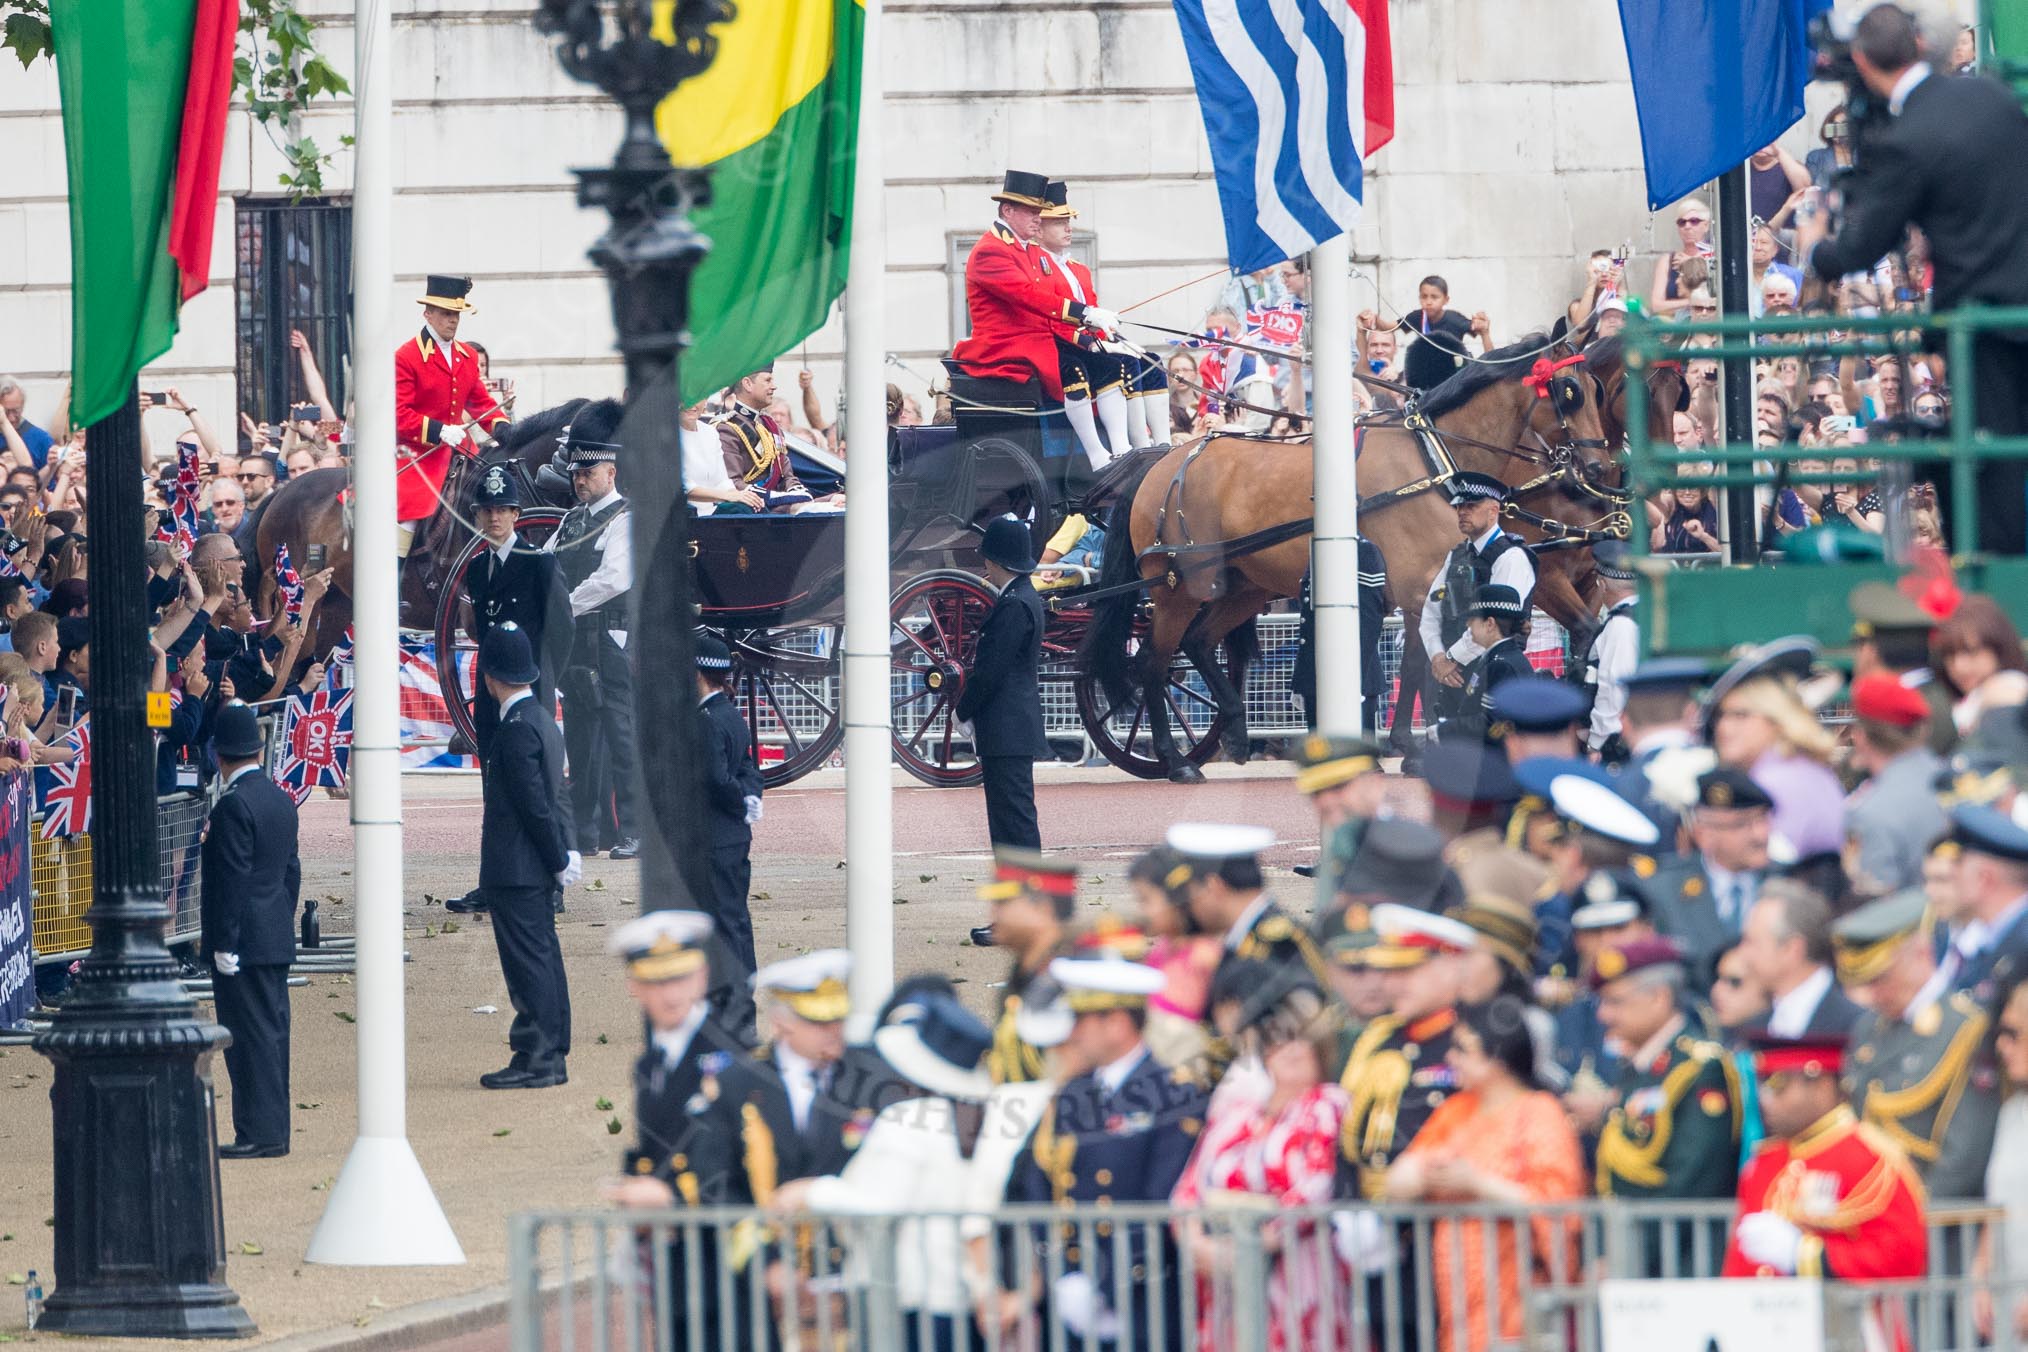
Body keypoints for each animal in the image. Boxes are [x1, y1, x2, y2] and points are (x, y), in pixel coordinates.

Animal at [1087, 336, 1622, 782]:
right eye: (1568, 391)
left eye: (1595, 388)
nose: (1599, 467)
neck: (1432, 463)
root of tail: (1163, 462)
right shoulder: (1419, 587)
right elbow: (1423, 666)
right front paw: (1412, 746)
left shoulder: (1431, 589)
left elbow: (1419, 663)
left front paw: (1407, 745)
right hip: (1177, 590)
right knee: (1154, 664)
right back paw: (1175, 760)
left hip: (1243, 586)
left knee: (1198, 642)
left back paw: (1235, 731)